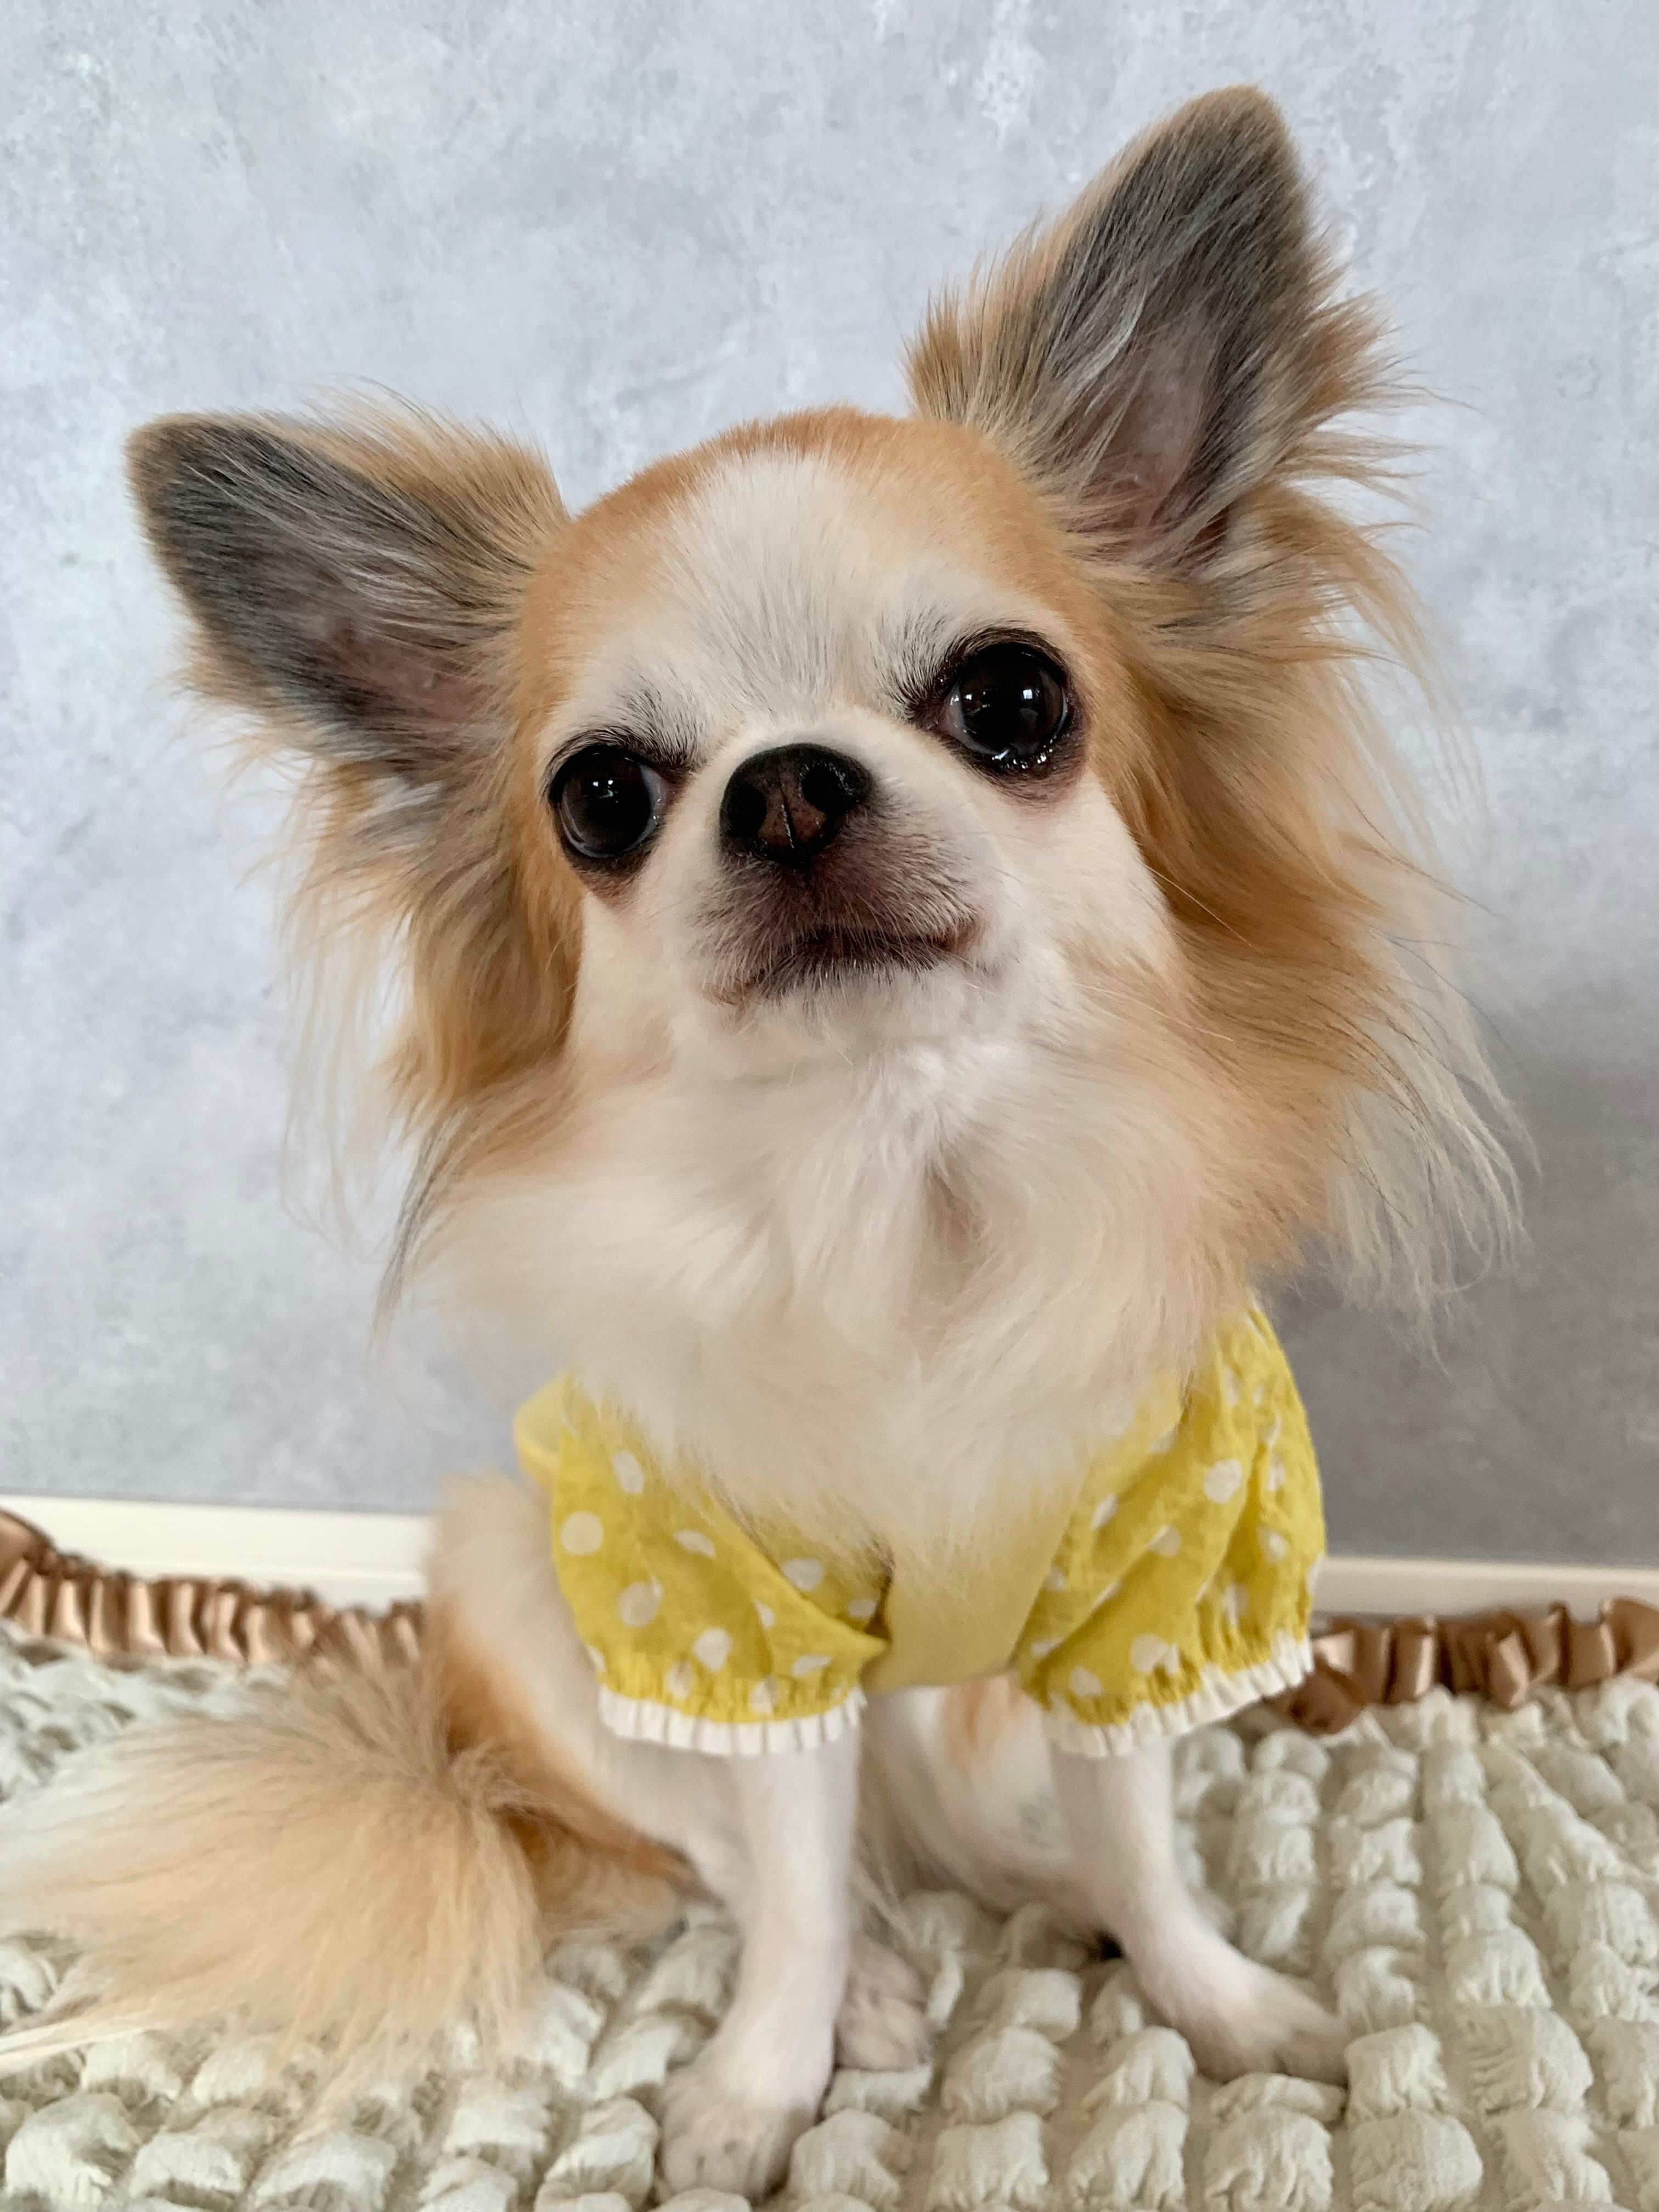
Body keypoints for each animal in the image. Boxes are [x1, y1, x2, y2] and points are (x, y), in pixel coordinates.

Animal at [0, 88, 1512, 2198]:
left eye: (1014, 698)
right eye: (602, 799)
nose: (788, 783)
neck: (900, 1190)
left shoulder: (1144, 1596)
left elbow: (1143, 1829)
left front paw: (1205, 1995)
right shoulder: (731, 1633)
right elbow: (783, 1881)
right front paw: (758, 2082)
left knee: (964, 1828)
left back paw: (1041, 1889)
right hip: (527, 1590)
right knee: (748, 1853)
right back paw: (874, 1987)